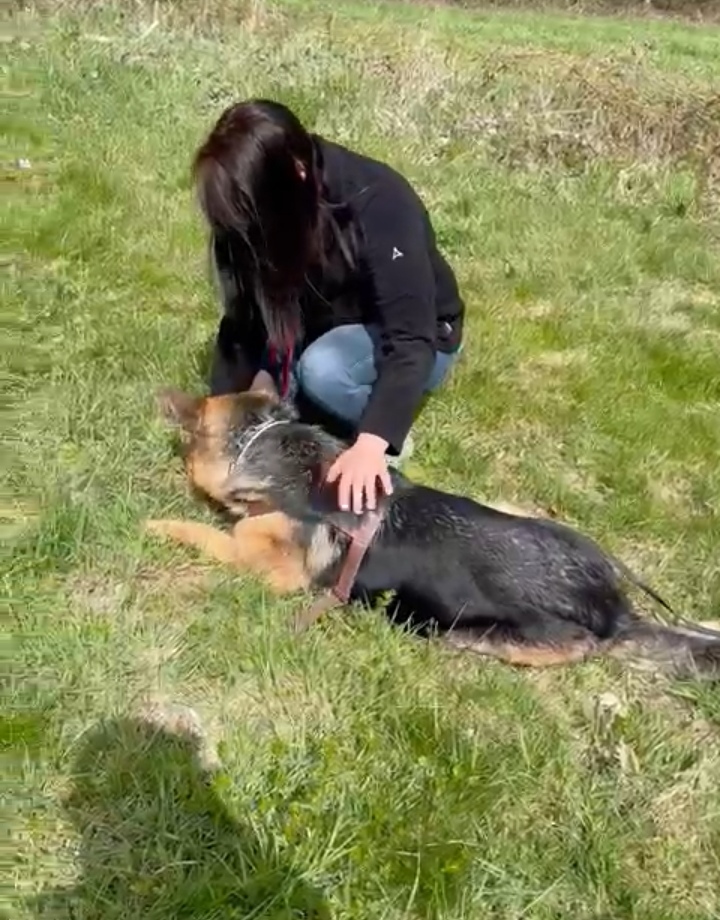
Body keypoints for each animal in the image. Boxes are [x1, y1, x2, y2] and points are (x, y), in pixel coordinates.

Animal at [146, 378, 720, 680]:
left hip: (473, 636)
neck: (266, 444)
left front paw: (156, 522)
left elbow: (199, 532)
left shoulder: (260, 562)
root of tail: (613, 608)